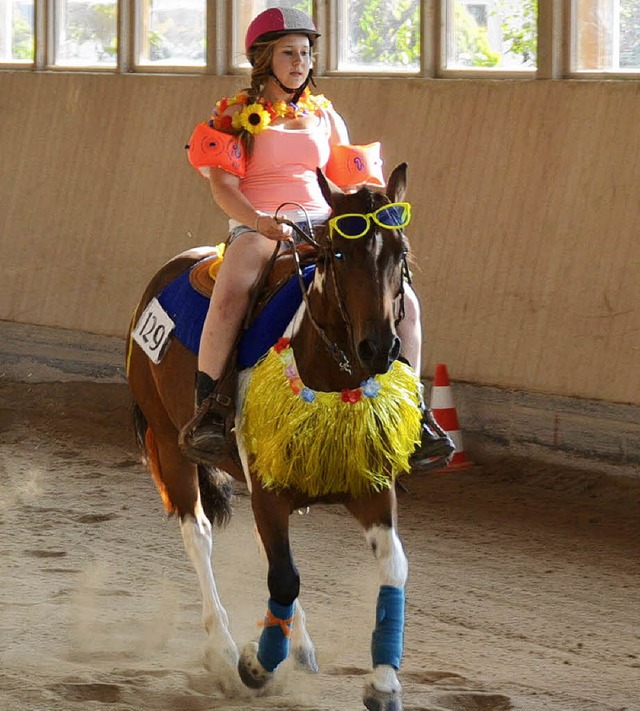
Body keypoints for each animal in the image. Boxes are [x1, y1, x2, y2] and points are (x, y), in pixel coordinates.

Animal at [127, 164, 420, 708]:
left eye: (400, 252)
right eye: (338, 253)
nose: (378, 347)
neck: (331, 376)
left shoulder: (369, 485)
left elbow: (392, 566)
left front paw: (384, 682)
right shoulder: (266, 487)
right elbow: (283, 578)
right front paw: (256, 666)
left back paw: (297, 645)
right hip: (170, 443)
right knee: (198, 535)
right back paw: (223, 648)